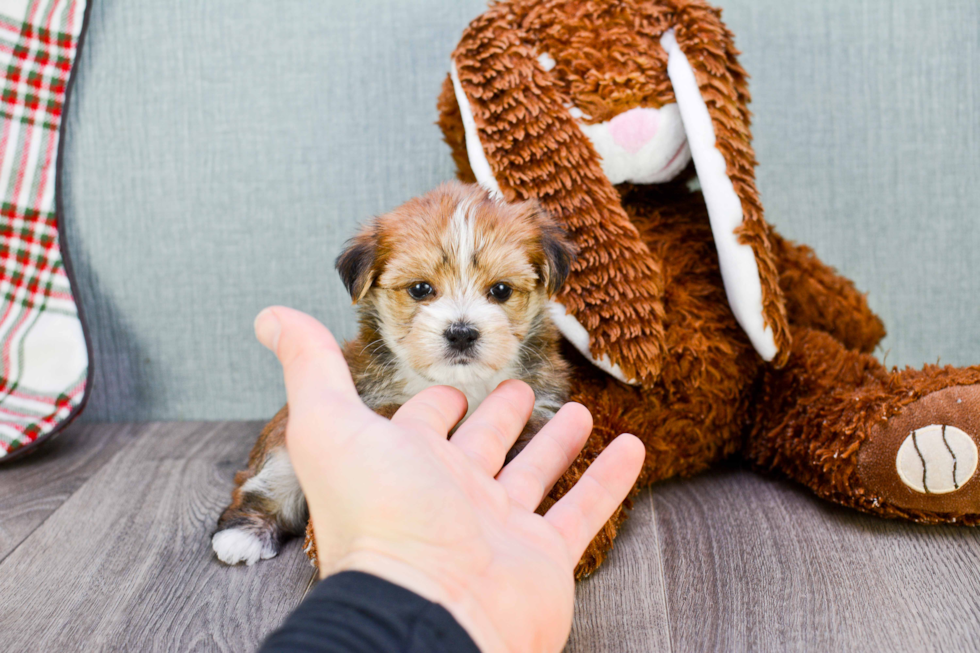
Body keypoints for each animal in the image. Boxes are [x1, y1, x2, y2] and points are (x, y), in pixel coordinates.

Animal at [210, 181, 572, 564]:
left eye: (501, 290)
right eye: (420, 289)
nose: (461, 332)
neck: (461, 383)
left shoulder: (540, 404)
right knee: (269, 482)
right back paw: (243, 534)